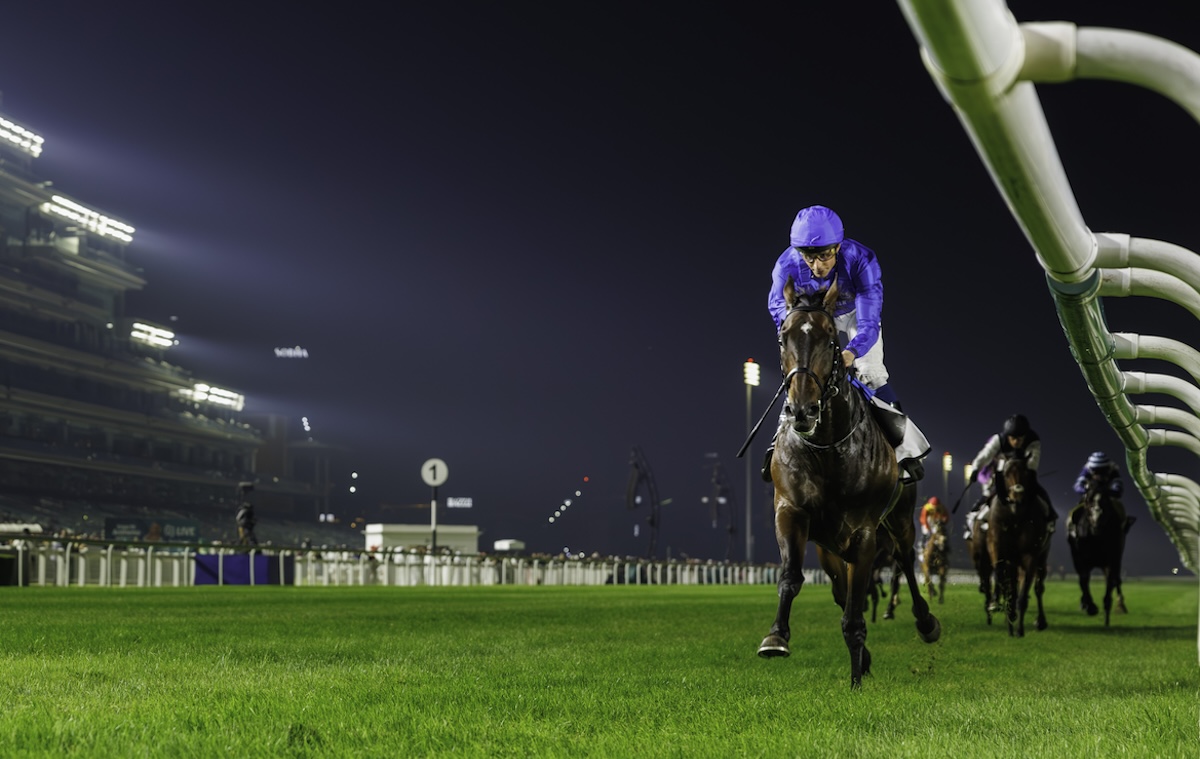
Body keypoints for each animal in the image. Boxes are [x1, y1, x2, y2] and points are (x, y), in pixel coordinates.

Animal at [753, 278, 940, 686]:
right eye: (783, 338)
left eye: (830, 341)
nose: (802, 410)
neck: (827, 449)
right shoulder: (791, 510)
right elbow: (792, 577)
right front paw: (776, 637)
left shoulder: (864, 532)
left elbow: (856, 609)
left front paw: (856, 679)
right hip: (828, 545)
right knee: (844, 589)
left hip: (899, 520)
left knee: (904, 562)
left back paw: (926, 622)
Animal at [1070, 482, 1132, 624]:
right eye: (1089, 500)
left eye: (1106, 502)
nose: (1097, 520)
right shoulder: (1080, 559)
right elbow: (1083, 580)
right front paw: (1089, 606)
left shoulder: (1113, 559)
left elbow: (1112, 582)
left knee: (1115, 580)